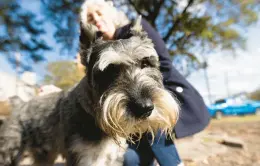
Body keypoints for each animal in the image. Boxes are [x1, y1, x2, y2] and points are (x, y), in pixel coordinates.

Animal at [0, 11, 179, 166]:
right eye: (109, 71)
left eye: (146, 63)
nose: (144, 108)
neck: (93, 114)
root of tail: (19, 105)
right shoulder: (85, 157)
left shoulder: (112, 157)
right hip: (10, 151)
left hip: (44, 155)